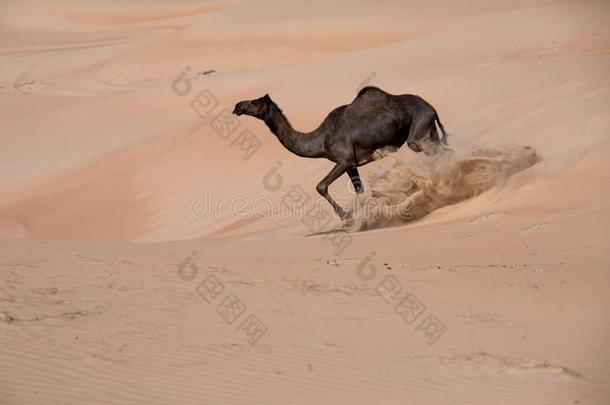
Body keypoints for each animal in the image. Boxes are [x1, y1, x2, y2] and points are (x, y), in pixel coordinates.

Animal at [232, 85, 446, 218]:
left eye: (256, 102)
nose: (237, 105)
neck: (320, 139)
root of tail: (432, 108)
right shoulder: (351, 164)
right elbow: (359, 189)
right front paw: (366, 215)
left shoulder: (344, 160)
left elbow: (320, 186)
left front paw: (347, 216)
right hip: (429, 130)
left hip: (418, 131)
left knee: (430, 149)